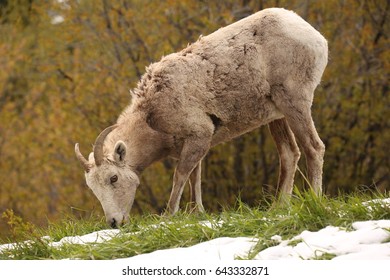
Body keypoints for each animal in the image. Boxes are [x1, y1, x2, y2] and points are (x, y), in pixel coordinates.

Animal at [74, 8, 328, 228]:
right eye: (93, 188)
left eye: (113, 178)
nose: (114, 222)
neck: (152, 117)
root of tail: (316, 37)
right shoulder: (196, 143)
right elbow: (195, 178)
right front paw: (197, 213)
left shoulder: (199, 134)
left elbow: (180, 176)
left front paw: (169, 215)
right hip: (276, 115)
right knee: (289, 153)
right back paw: (278, 207)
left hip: (294, 101)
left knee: (314, 147)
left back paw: (315, 200)